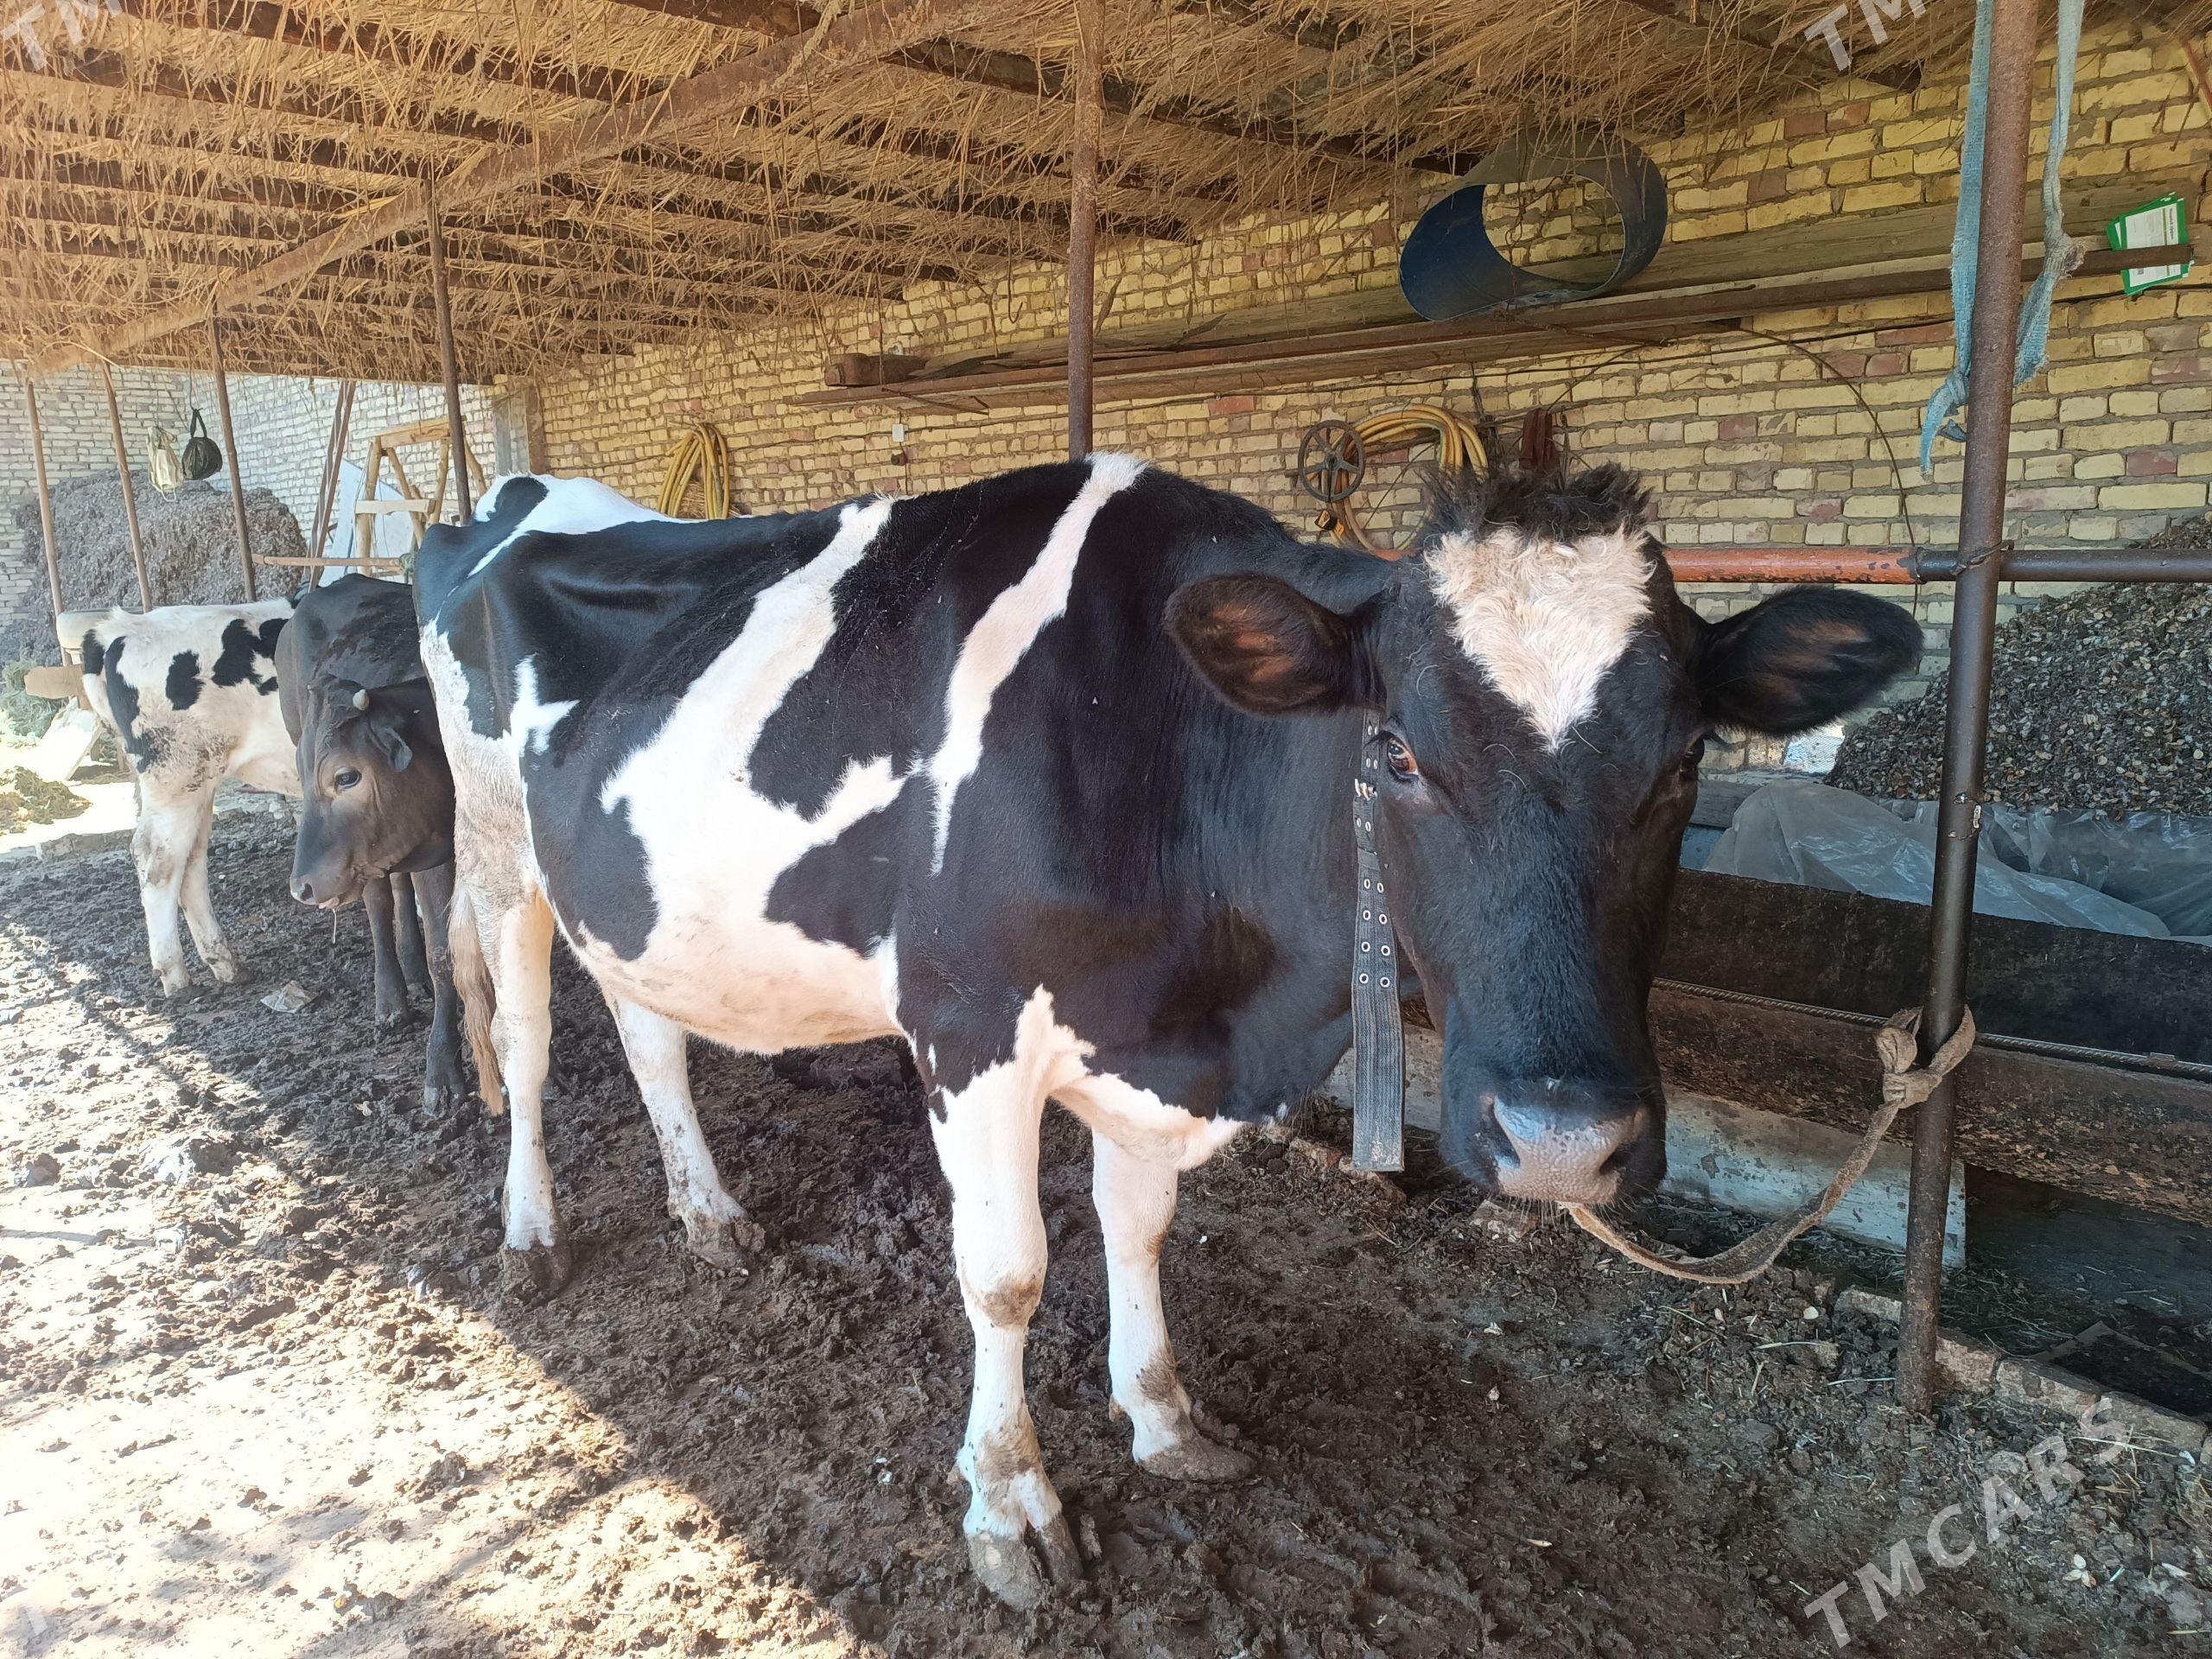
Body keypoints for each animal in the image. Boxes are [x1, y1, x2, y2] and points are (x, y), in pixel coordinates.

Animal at [61, 600, 296, 996]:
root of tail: (122, 627)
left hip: (197, 781)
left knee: (191, 859)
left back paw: (225, 964)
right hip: (176, 774)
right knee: (158, 859)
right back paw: (175, 976)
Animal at [276, 575, 467, 1111]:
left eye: (346, 777)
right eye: (304, 780)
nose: (301, 887)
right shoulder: (438, 856)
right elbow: (446, 951)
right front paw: (443, 1070)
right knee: (379, 902)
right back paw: (392, 999)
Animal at [417, 460, 1917, 1608]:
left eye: (1686, 764)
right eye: (1399, 753)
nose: (1563, 1140)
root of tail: (511, 497)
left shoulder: (1154, 1049)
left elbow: (1137, 1231)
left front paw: (1162, 1416)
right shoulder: (967, 1027)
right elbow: (1007, 1276)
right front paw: (1012, 1507)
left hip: (622, 886)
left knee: (651, 1037)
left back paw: (709, 1213)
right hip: (497, 856)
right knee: (535, 1043)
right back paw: (532, 1232)